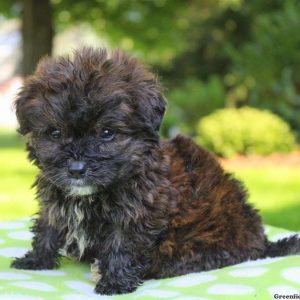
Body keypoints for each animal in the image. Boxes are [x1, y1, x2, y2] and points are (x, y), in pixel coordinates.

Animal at [11, 48, 300, 294]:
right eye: (55, 133)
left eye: (106, 132)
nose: (76, 169)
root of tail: (260, 241)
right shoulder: (54, 199)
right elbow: (48, 228)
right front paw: (37, 260)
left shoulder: (137, 212)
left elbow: (123, 245)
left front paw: (115, 282)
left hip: (202, 239)